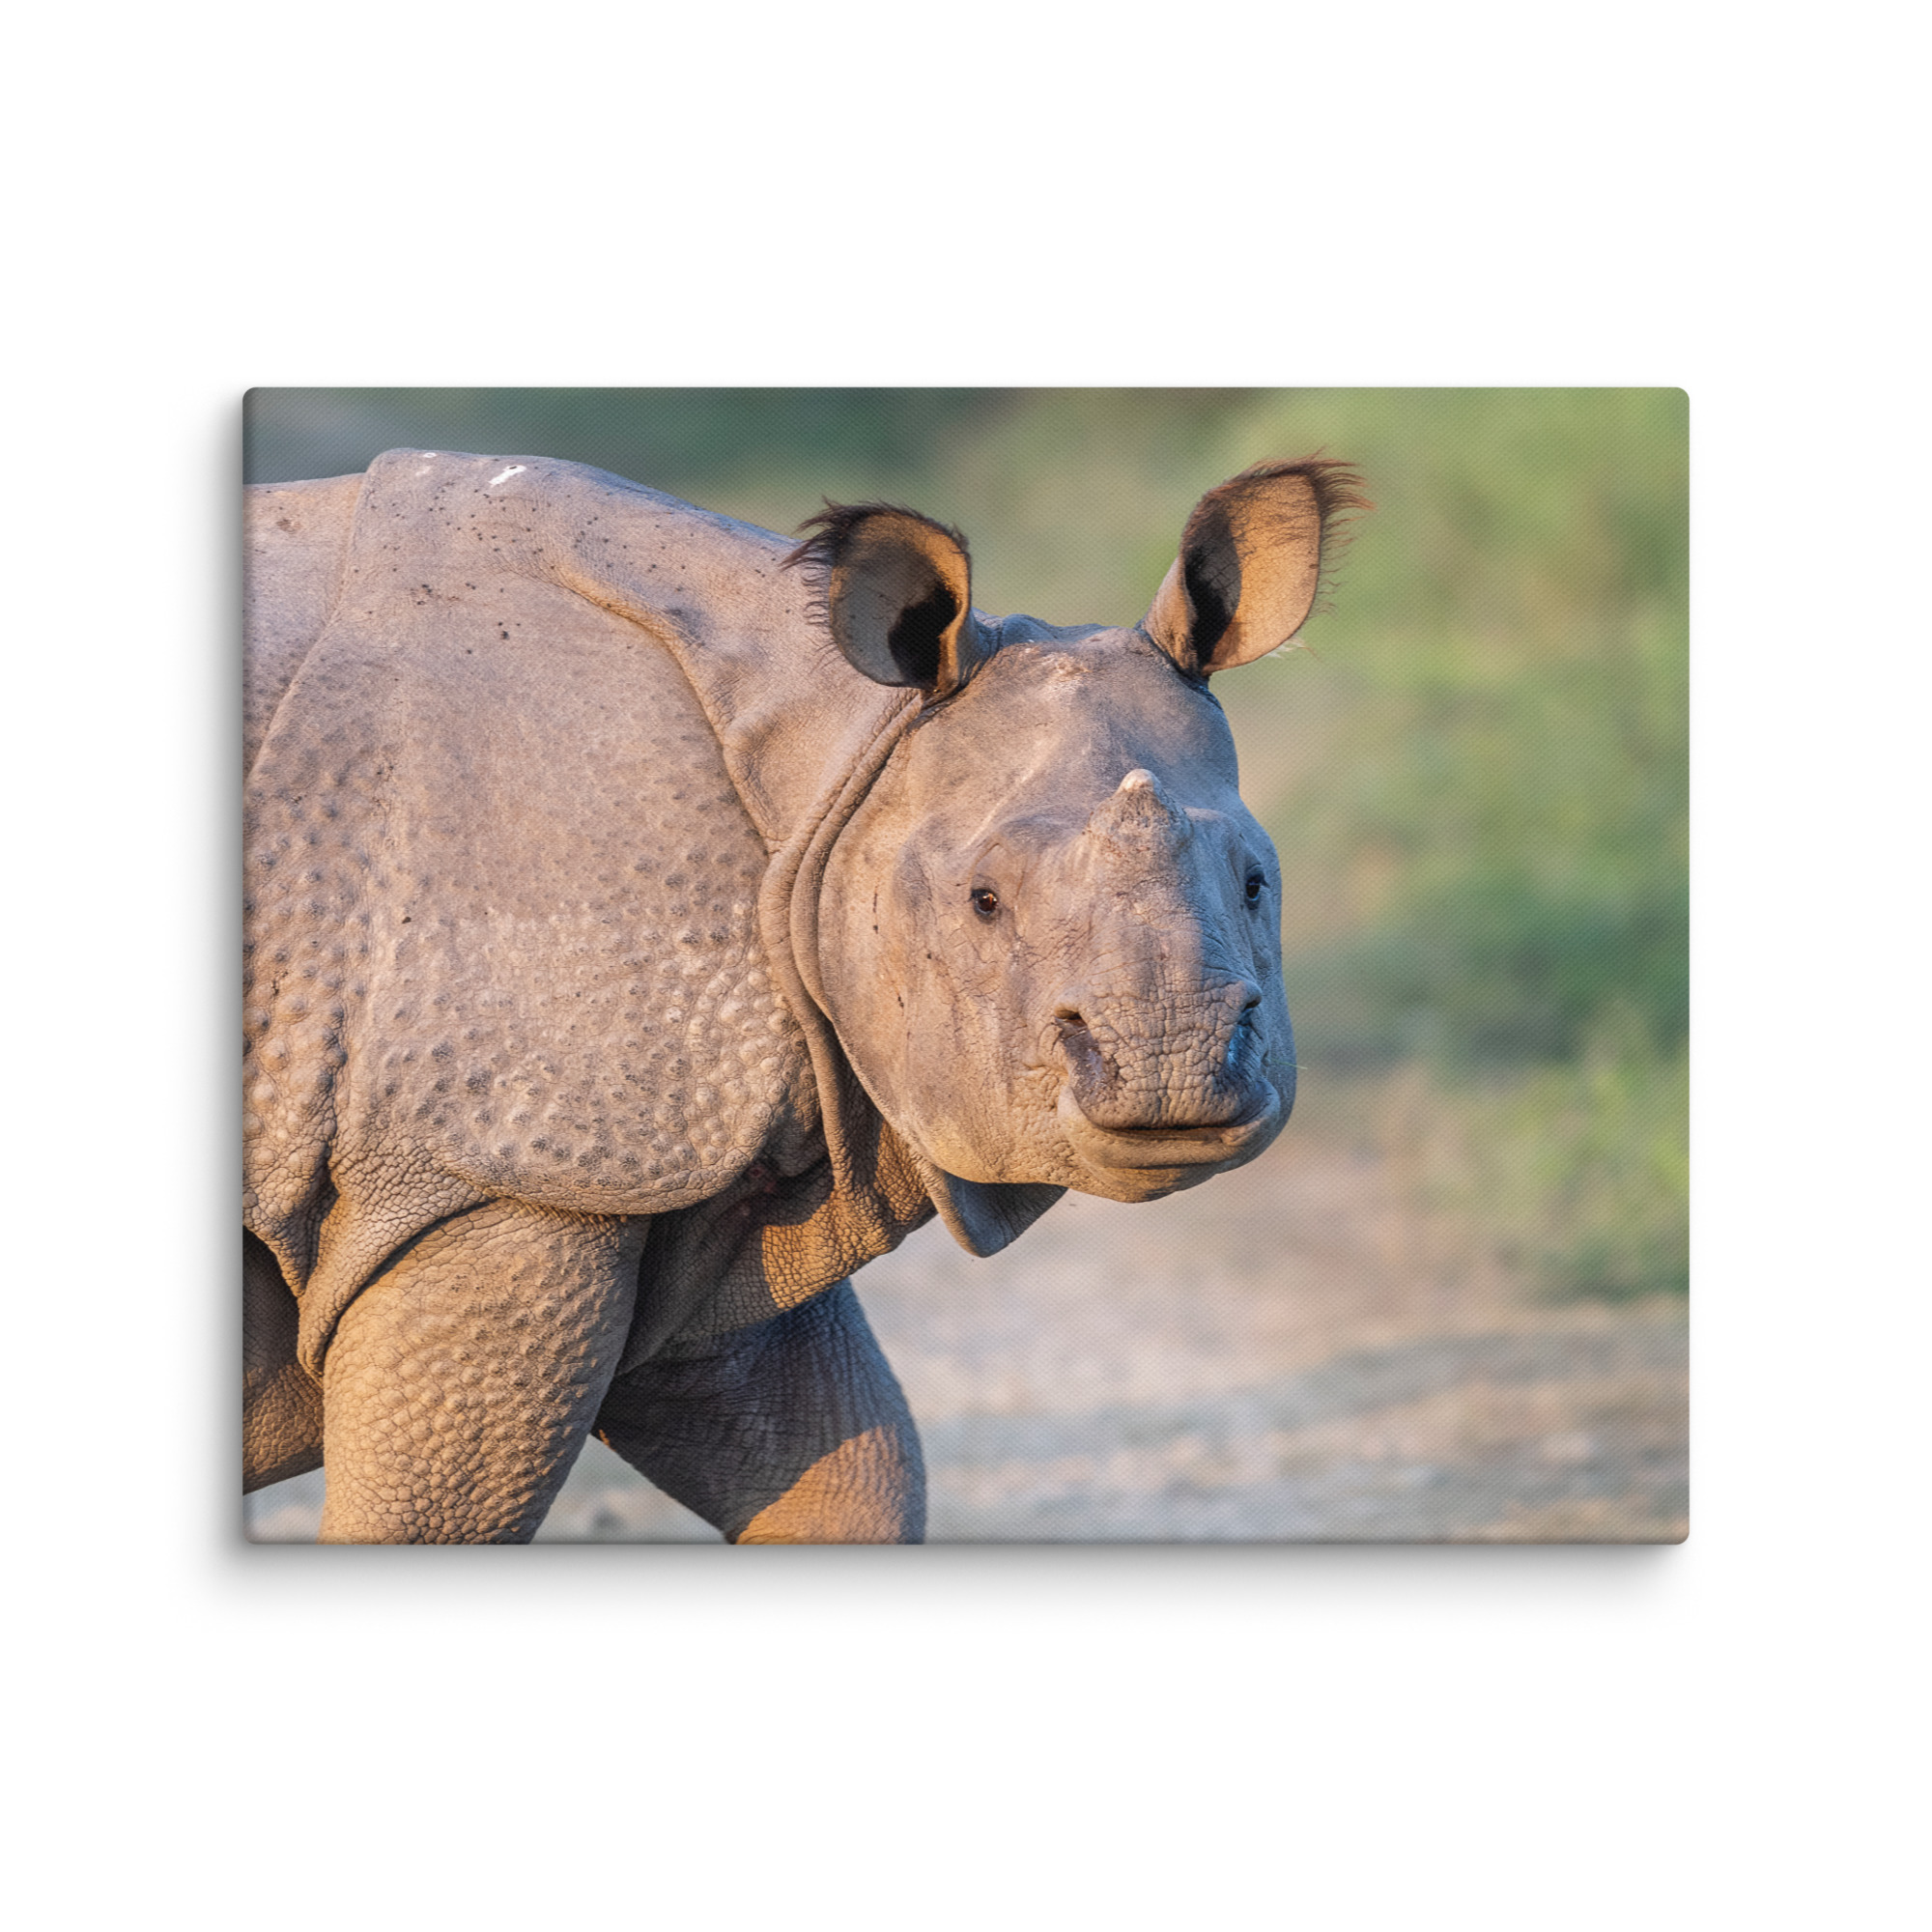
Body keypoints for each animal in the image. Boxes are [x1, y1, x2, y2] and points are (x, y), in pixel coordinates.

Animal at [243, 447, 1362, 1542]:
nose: (1171, 1066)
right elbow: (432, 1518)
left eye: (1255, 884)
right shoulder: (503, 1170)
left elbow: (850, 1466)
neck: (841, 758)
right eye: (983, 902)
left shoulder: (689, 1181)